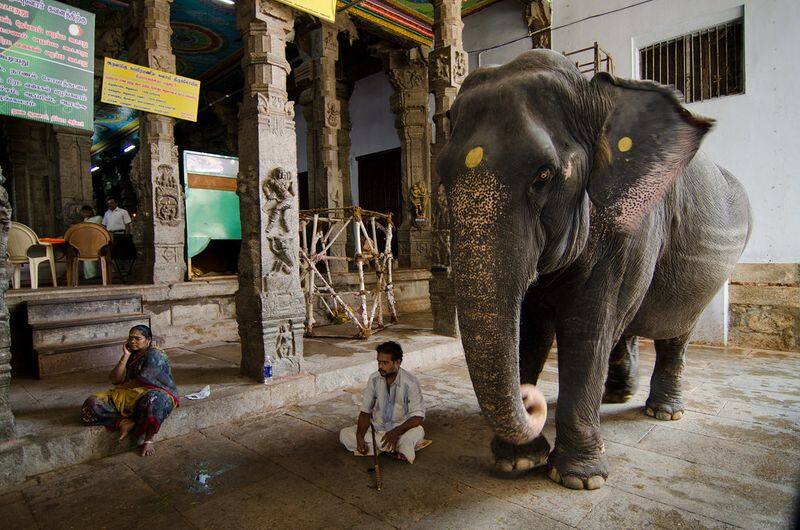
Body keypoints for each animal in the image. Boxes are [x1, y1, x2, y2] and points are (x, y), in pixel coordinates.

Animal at [440, 49, 752, 486]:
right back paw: (615, 394)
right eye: (440, 175)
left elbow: (588, 327)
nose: (531, 399)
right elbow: (530, 328)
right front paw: (519, 462)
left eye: (543, 174)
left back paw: (662, 412)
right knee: (628, 324)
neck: (594, 95)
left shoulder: (633, 226)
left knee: (674, 332)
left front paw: (579, 479)